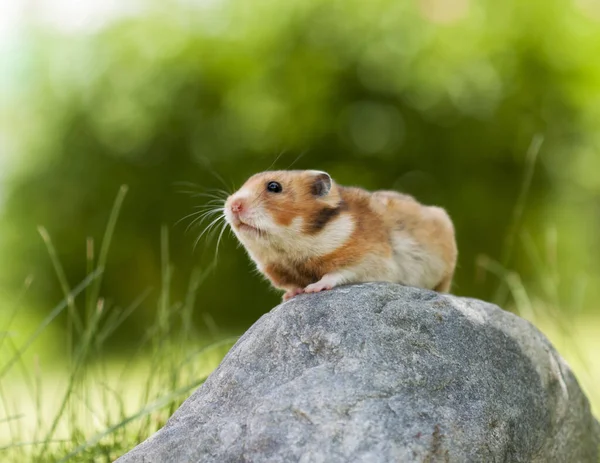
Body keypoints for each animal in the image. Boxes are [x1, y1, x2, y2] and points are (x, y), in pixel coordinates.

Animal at [223, 170, 458, 300]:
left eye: (274, 186)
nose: (233, 205)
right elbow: (292, 286)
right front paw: (289, 295)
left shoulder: (371, 260)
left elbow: (338, 273)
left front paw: (313, 288)